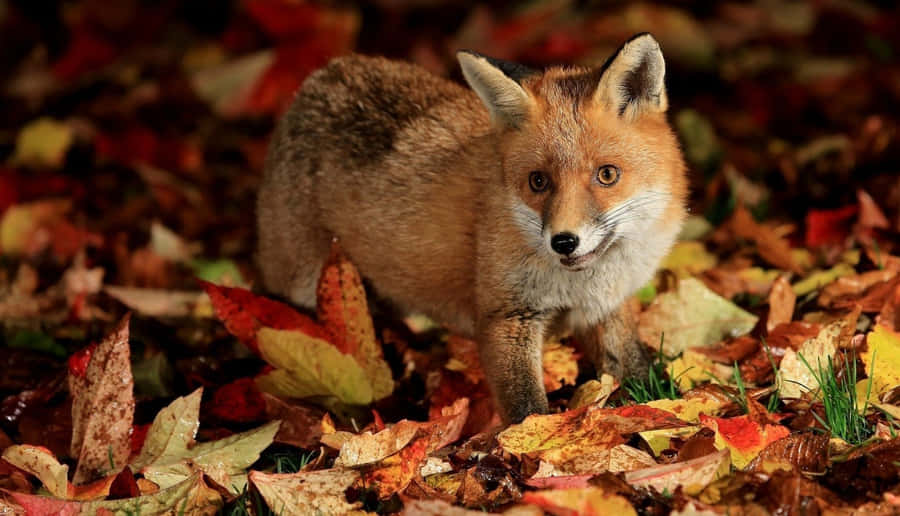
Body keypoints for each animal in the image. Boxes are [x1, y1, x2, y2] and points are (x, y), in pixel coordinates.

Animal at [256, 35, 692, 424]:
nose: (564, 242)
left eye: (607, 175)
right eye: (538, 182)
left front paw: (665, 408)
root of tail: (321, 76)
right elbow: (526, 409)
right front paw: (532, 449)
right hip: (302, 287)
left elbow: (636, 368)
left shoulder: (607, 307)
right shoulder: (506, 317)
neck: (581, 283)